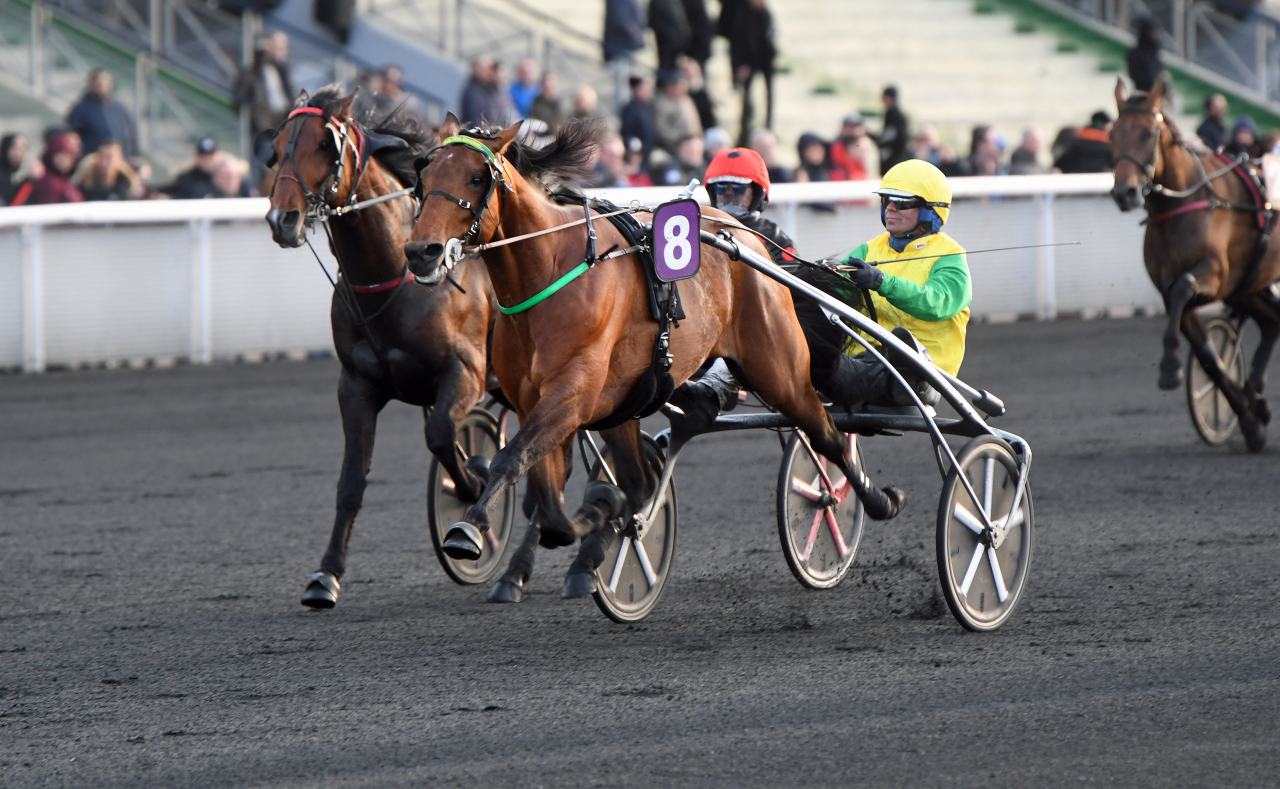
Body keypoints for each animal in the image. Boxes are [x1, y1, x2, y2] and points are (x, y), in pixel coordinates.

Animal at [263, 88, 498, 607]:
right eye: (276, 147)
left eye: (324, 145)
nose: (282, 218)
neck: (396, 271)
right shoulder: (357, 385)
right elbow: (351, 482)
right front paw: (326, 575)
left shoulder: (466, 372)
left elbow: (444, 437)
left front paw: (472, 487)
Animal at [402, 113, 905, 599]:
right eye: (423, 174)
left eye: (475, 177)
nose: (420, 250)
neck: (549, 272)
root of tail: (746, 239)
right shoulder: (538, 403)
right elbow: (548, 499)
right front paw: (588, 521)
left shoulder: (571, 394)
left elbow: (514, 461)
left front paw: (469, 529)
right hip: (624, 404)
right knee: (641, 475)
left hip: (781, 373)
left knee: (826, 435)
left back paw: (875, 500)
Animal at [1110, 77, 1280, 452]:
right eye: (1113, 133)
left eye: (1148, 133)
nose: (1124, 193)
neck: (1184, 203)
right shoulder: (1175, 291)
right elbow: (1209, 359)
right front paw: (1249, 419)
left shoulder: (1214, 276)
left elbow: (1184, 287)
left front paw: (1171, 366)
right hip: (1250, 285)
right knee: (1272, 321)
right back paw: (1256, 394)